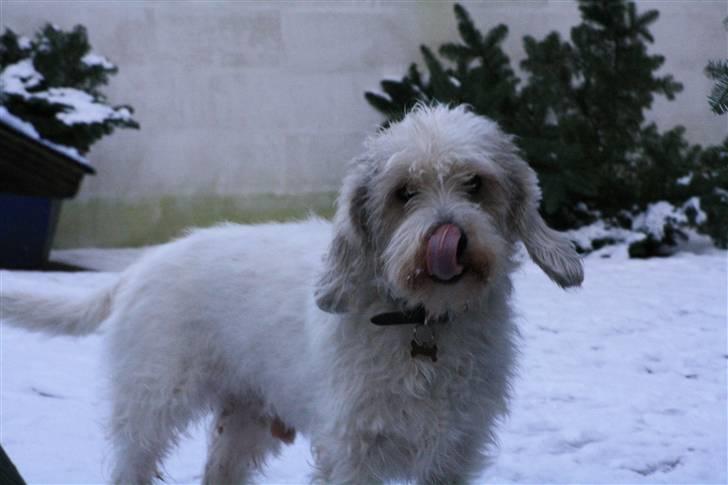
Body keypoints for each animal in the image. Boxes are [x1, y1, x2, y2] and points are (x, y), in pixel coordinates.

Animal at [1, 106, 580, 484]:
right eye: (404, 192)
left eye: (475, 184)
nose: (450, 238)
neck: (419, 325)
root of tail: (142, 267)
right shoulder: (352, 452)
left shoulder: (453, 453)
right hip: (150, 408)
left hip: (243, 423)